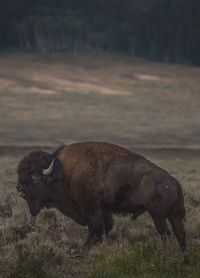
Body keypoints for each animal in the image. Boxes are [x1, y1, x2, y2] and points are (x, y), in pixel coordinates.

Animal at [16, 142, 187, 251]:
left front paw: (87, 245)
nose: (19, 188)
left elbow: (96, 227)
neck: (64, 173)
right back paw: (183, 258)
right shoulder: (104, 211)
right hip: (173, 215)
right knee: (179, 234)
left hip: (158, 215)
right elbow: (106, 226)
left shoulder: (91, 208)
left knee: (165, 233)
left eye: (34, 176)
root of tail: (176, 183)